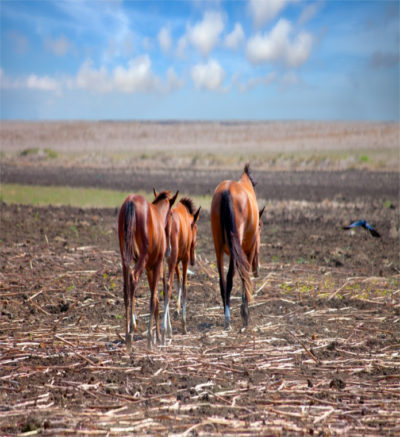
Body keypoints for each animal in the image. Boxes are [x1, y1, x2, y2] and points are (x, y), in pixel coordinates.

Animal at [116, 189, 177, 350]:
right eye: (171, 214)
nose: (169, 249)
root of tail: (131, 202)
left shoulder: (150, 269)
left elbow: (155, 299)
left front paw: (158, 336)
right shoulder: (156, 266)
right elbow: (152, 299)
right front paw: (152, 337)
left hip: (124, 257)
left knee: (126, 290)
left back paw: (127, 335)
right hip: (141, 259)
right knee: (133, 277)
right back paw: (132, 330)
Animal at [160, 196, 202, 342]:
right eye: (195, 228)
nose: (194, 261)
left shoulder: (175, 261)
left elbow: (178, 282)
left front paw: (177, 310)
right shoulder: (183, 259)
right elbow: (184, 285)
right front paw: (183, 325)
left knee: (164, 287)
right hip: (173, 259)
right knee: (168, 286)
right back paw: (166, 330)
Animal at [211, 164, 264, 328]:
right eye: (260, 226)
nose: (257, 270)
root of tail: (227, 191)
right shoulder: (249, 250)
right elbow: (244, 275)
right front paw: (245, 313)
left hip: (218, 245)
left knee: (222, 278)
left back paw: (225, 313)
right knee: (230, 276)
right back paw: (229, 317)